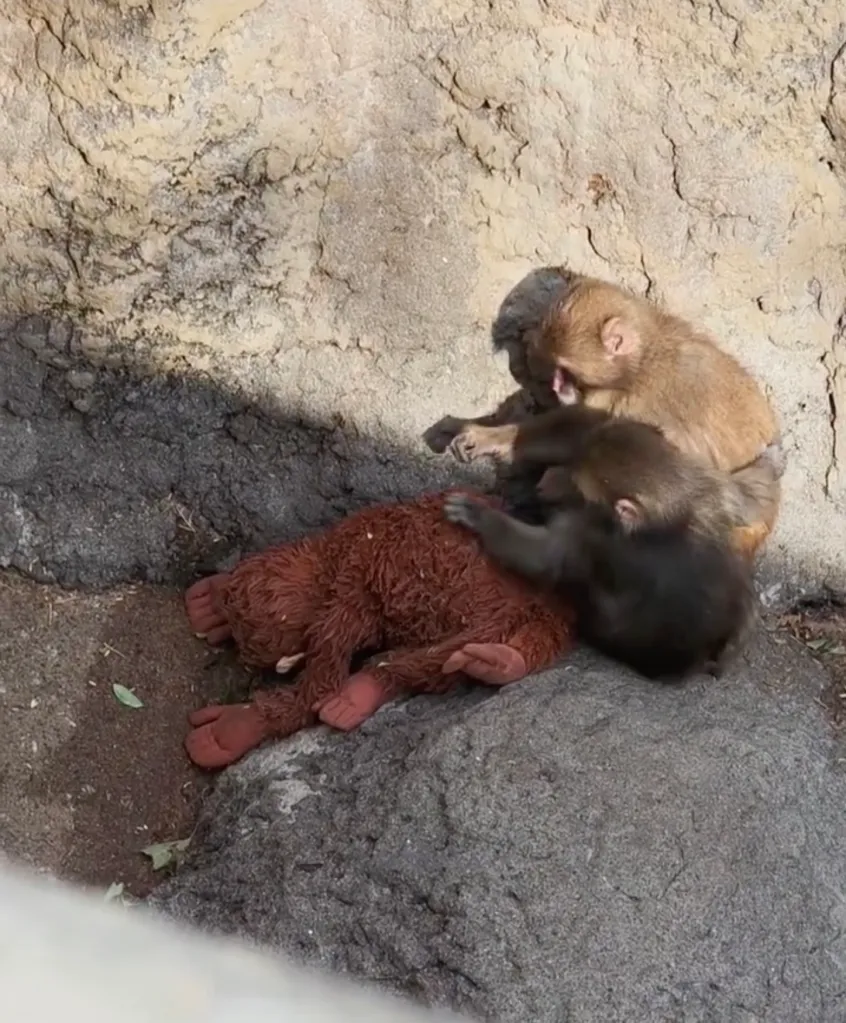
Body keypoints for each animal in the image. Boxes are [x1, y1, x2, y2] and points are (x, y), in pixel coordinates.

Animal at [428, 269, 782, 557]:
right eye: (556, 369)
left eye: (565, 371)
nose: (558, 387)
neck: (642, 361)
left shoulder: (634, 401)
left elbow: (597, 441)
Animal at [442, 406, 785, 680]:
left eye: (579, 487)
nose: (551, 487)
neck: (672, 509)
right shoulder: (709, 485)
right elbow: (749, 495)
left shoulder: (594, 537)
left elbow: (547, 557)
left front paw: (480, 517)